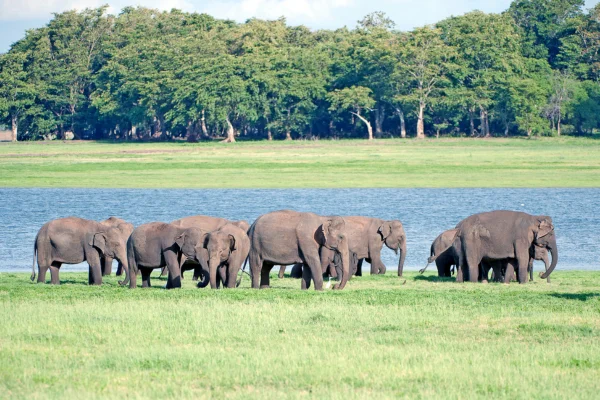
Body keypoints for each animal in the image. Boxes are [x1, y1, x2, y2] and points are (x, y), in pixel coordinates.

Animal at [428, 211, 556, 282]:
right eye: (551, 233)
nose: (541, 274)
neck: (533, 218)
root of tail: (458, 227)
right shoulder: (521, 238)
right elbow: (521, 258)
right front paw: (523, 283)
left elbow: (513, 260)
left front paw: (508, 282)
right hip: (471, 240)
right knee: (472, 262)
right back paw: (474, 282)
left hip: (460, 242)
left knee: (462, 262)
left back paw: (461, 281)